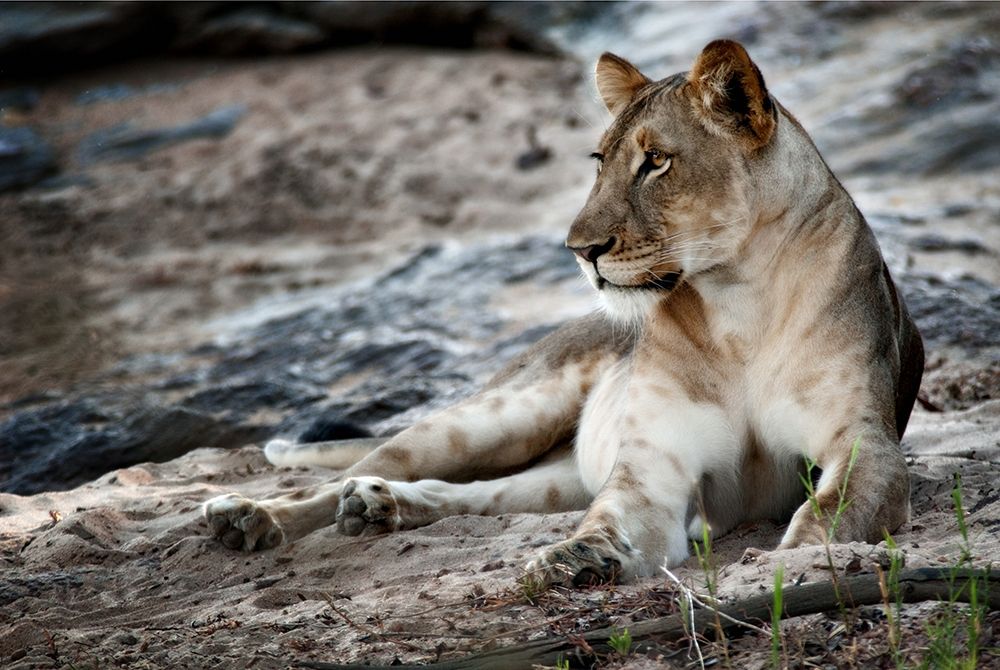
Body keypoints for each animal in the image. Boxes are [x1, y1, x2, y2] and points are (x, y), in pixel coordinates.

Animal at [204, 40, 924, 587]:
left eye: (656, 161)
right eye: (600, 161)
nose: (581, 250)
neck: (736, 301)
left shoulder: (865, 440)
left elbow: (834, 508)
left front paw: (801, 559)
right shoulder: (650, 467)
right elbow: (613, 518)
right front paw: (578, 557)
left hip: (555, 478)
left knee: (471, 496)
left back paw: (381, 508)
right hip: (497, 416)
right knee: (353, 472)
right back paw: (252, 516)